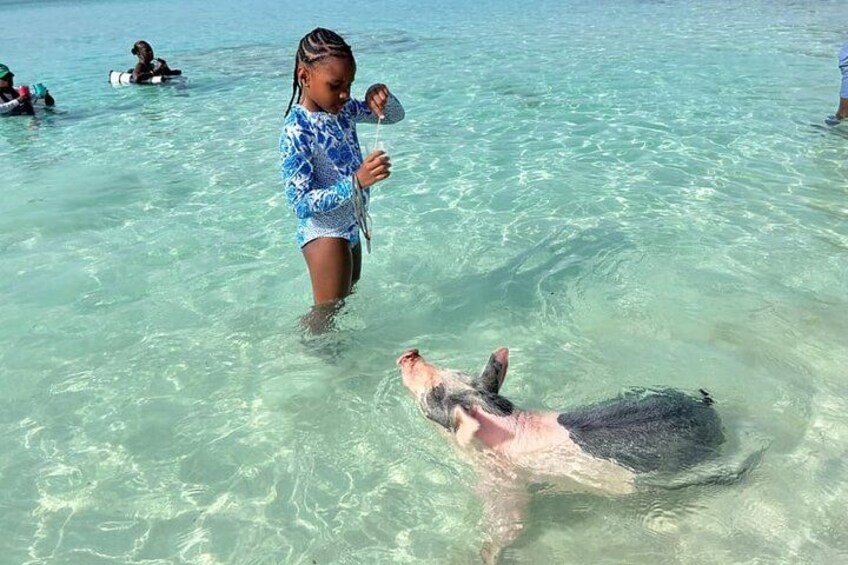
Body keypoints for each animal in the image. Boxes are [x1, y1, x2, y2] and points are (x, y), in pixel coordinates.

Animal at [397, 347, 727, 564]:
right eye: (451, 373)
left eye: (434, 393)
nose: (410, 353)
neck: (504, 423)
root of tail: (707, 409)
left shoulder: (508, 485)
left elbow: (508, 524)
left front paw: (479, 556)